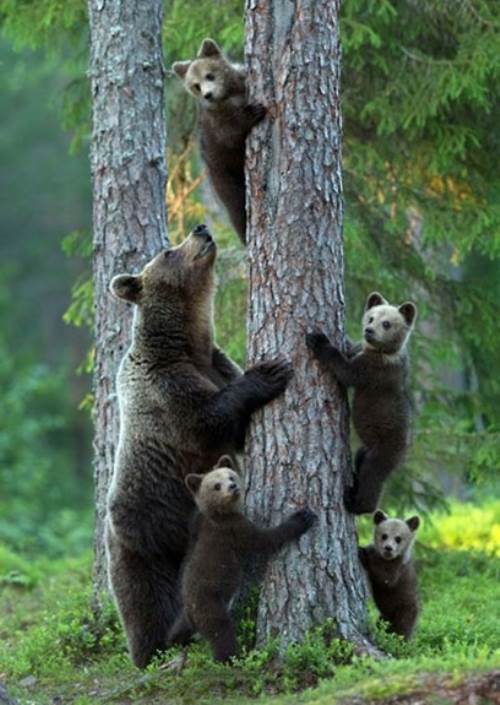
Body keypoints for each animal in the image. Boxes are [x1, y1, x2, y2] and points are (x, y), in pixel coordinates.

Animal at [106, 224, 293, 668]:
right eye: (168, 252)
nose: (201, 228)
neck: (188, 344)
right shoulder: (165, 388)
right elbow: (207, 419)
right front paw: (270, 372)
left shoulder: (215, 364)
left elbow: (235, 429)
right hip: (146, 539)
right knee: (146, 603)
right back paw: (153, 649)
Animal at [168, 456, 317, 662]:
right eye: (216, 485)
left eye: (230, 476)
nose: (233, 487)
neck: (218, 513)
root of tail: (192, 614)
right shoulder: (235, 529)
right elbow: (265, 539)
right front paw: (301, 518)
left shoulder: (196, 525)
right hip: (210, 605)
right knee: (222, 632)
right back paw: (230, 658)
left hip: (185, 614)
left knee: (177, 629)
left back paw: (174, 642)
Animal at [172, 38, 266, 245]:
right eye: (196, 85)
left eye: (209, 75)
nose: (208, 95)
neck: (230, 94)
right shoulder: (217, 123)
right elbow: (230, 134)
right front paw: (255, 111)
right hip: (223, 177)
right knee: (237, 210)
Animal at [306, 291, 417, 515]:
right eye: (371, 317)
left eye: (386, 323)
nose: (368, 330)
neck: (383, 351)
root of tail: (405, 450)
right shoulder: (364, 352)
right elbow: (351, 349)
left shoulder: (374, 370)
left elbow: (346, 371)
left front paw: (319, 340)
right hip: (367, 448)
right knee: (361, 458)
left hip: (386, 448)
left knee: (372, 476)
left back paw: (356, 502)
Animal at [359, 509, 420, 640]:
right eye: (384, 535)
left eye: (398, 538)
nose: (388, 548)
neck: (387, 559)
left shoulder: (397, 569)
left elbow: (385, 579)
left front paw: (363, 552)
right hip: (385, 615)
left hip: (405, 609)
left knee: (402, 629)